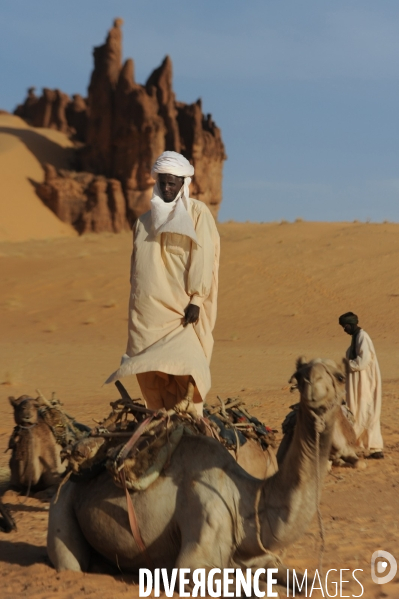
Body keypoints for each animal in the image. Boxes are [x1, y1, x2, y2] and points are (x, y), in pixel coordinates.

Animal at [47, 358, 346, 588]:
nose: (314, 391)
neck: (247, 500)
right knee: (70, 563)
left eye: (341, 376)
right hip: (62, 507)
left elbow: (308, 583)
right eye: (301, 375)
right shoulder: (195, 554)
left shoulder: (263, 558)